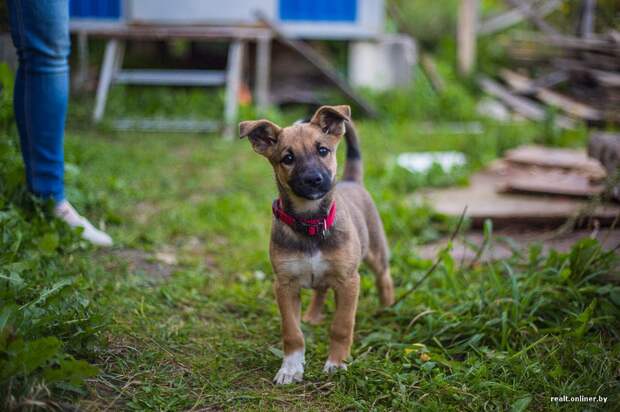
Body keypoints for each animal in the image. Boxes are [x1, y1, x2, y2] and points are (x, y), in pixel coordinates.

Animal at [240, 104, 394, 384]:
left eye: (323, 150)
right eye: (288, 158)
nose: (313, 180)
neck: (310, 223)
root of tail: (351, 180)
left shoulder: (349, 281)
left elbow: (341, 326)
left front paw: (337, 363)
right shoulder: (284, 285)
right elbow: (292, 331)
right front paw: (291, 368)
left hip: (376, 252)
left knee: (384, 278)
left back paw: (387, 308)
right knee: (321, 289)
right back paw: (312, 317)